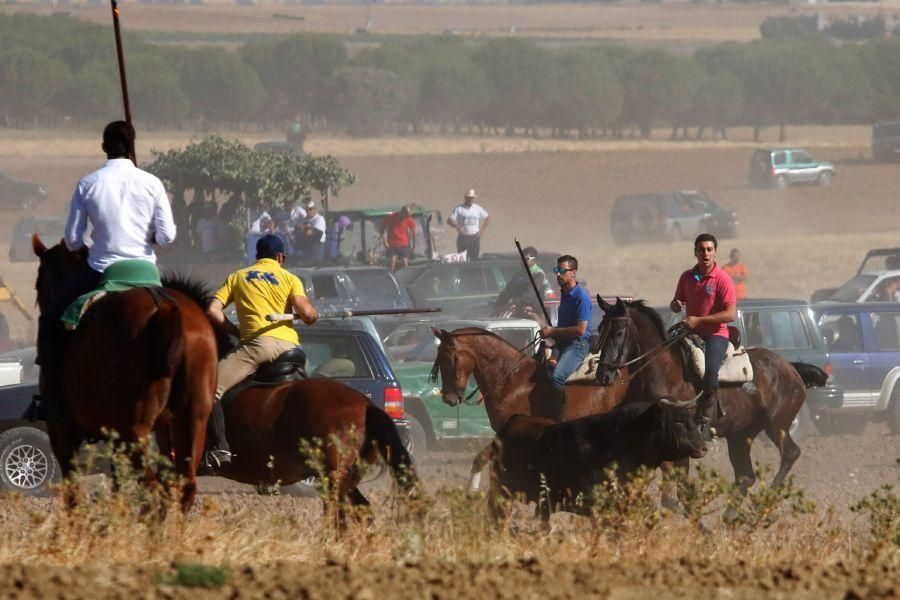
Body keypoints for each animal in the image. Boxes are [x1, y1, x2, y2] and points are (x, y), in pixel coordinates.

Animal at [32, 237, 218, 508]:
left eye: (38, 283)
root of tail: (165, 308)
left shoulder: (62, 432)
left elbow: (73, 494)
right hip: (192, 420)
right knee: (184, 486)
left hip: (133, 429)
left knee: (153, 490)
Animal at [596, 298, 828, 520]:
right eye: (599, 329)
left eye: (619, 332)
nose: (603, 374)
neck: (664, 372)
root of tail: (790, 368)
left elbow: (678, 495)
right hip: (741, 434)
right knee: (745, 475)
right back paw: (729, 518)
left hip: (776, 424)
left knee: (790, 453)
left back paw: (764, 507)